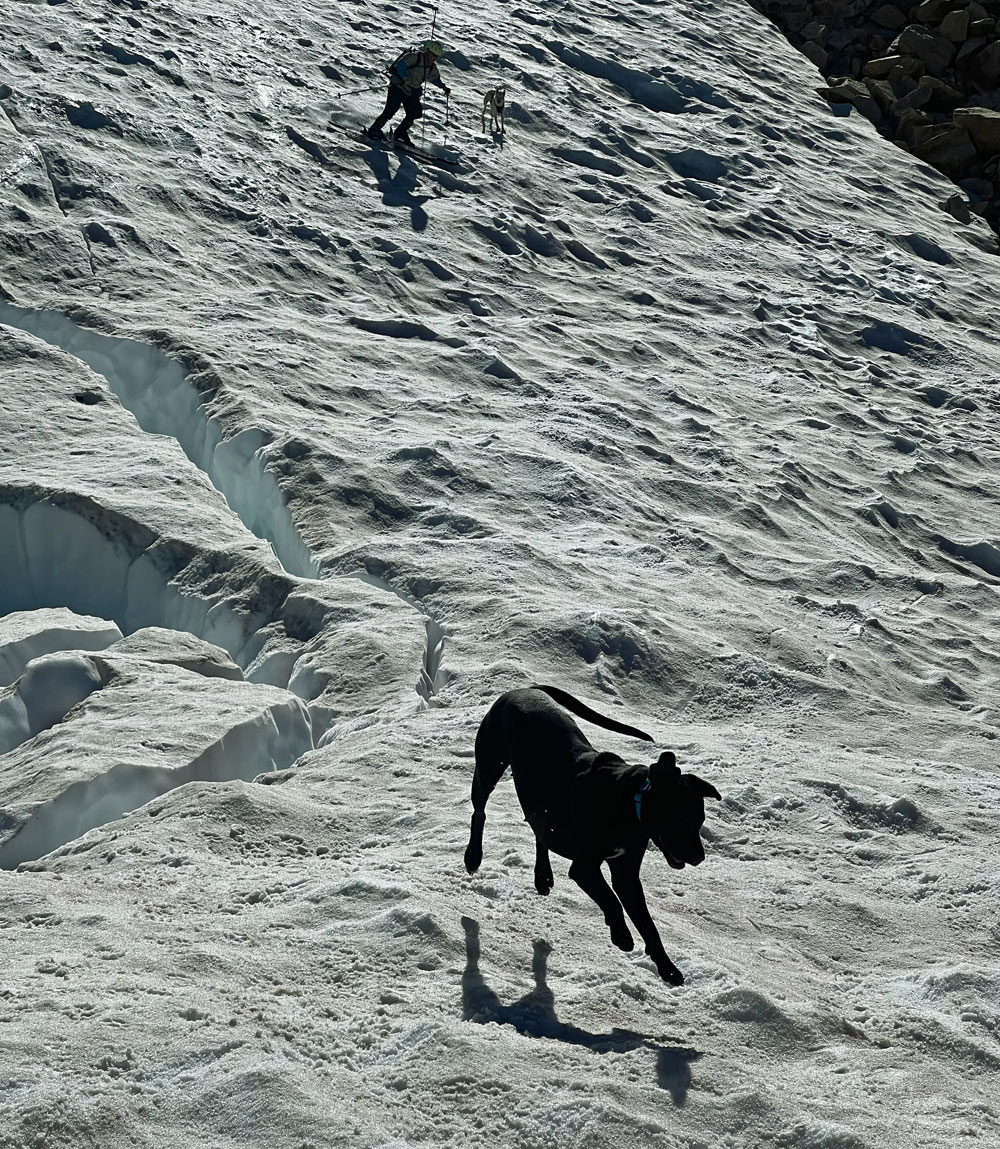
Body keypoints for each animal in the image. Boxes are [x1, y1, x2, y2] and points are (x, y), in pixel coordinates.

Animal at [464, 680, 721, 988]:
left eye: (700, 820)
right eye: (680, 818)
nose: (699, 857)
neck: (627, 804)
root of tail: (524, 689)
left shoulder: (626, 873)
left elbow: (647, 923)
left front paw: (666, 967)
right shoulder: (585, 868)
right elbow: (611, 900)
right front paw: (621, 935)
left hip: (536, 795)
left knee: (539, 827)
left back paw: (543, 876)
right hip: (490, 763)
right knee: (479, 811)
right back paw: (473, 856)